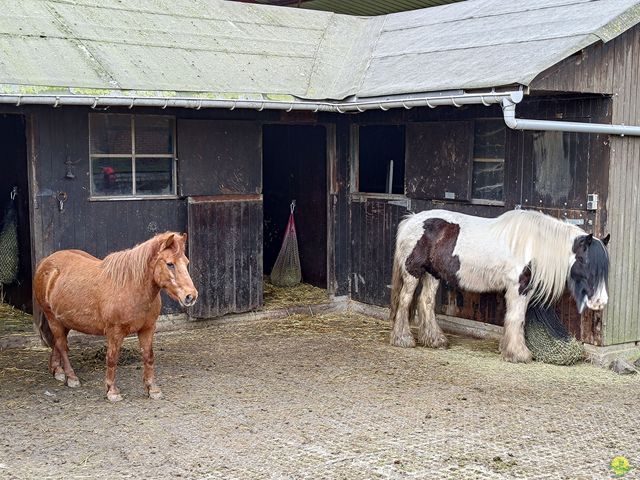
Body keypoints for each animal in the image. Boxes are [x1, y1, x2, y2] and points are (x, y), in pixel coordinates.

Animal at [32, 232, 196, 402]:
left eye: (186, 262)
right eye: (170, 264)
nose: (191, 296)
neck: (131, 286)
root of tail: (46, 262)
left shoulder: (147, 329)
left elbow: (148, 356)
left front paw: (153, 389)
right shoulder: (114, 332)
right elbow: (112, 358)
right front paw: (112, 391)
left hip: (65, 320)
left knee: (57, 344)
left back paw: (57, 370)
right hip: (53, 319)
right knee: (62, 346)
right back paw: (71, 377)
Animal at [390, 208, 608, 362]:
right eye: (586, 262)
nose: (600, 302)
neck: (532, 245)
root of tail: (411, 219)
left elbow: (516, 318)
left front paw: (509, 349)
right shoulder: (518, 287)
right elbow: (516, 318)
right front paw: (519, 354)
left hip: (432, 274)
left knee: (426, 302)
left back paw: (435, 340)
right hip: (413, 272)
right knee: (405, 300)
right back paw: (403, 339)